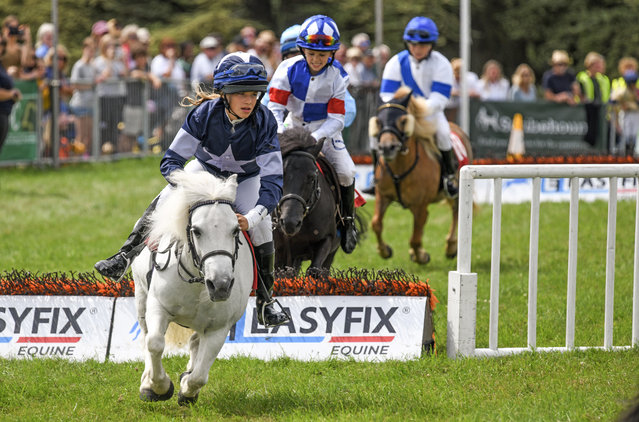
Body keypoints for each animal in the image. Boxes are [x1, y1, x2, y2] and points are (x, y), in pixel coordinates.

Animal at [131, 171, 254, 406]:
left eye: (236, 230)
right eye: (196, 231)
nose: (221, 285)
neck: (198, 281)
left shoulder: (219, 328)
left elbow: (199, 376)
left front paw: (187, 390)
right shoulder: (158, 306)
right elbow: (155, 343)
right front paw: (160, 387)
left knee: (196, 343)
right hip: (141, 295)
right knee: (146, 335)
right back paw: (146, 384)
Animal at [368, 86, 472, 264]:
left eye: (402, 121)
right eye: (379, 121)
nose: (387, 147)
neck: (400, 167)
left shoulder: (421, 206)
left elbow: (415, 238)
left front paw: (421, 256)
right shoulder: (383, 196)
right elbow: (376, 224)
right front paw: (384, 250)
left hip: (458, 191)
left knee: (456, 213)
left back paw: (451, 247)